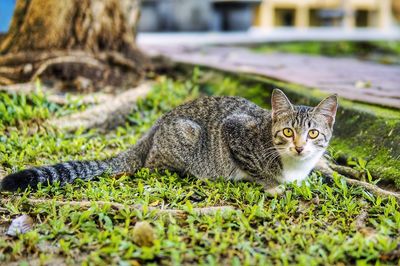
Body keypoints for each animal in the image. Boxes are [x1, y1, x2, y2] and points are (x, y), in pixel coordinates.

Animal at [0, 89, 338, 195]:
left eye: (313, 134)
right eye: (287, 132)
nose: (299, 146)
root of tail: (158, 122)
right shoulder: (234, 130)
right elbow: (256, 169)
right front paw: (272, 185)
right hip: (187, 136)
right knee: (151, 164)